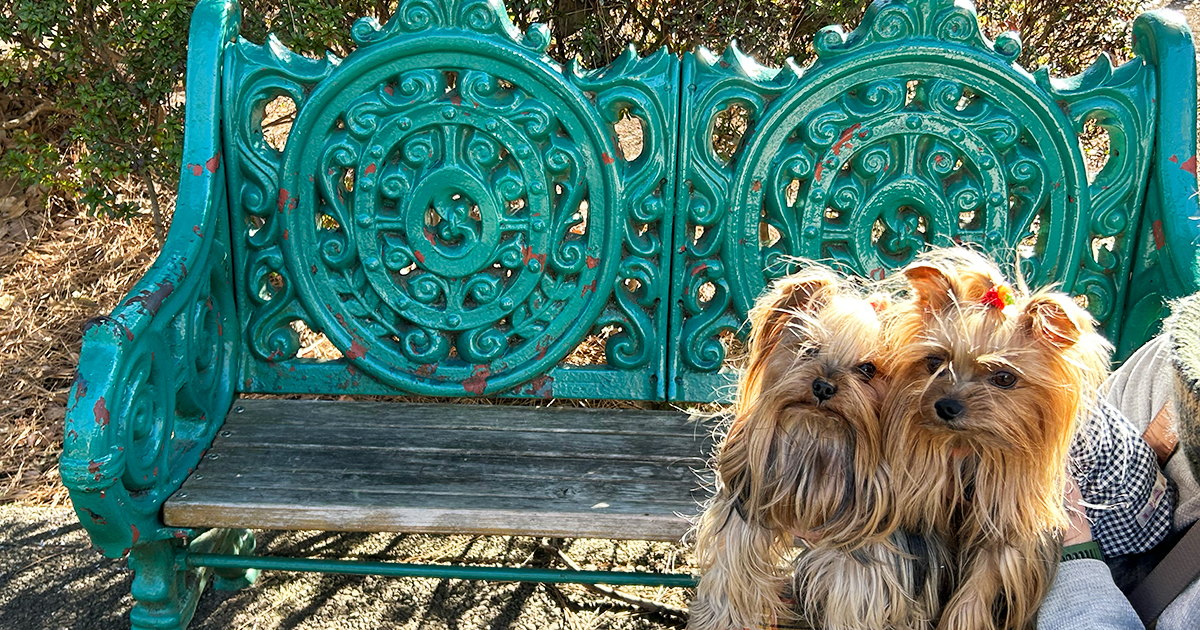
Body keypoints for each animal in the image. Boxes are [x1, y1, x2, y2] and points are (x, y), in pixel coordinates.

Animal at [691, 265, 940, 628]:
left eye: (868, 369)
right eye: (808, 349)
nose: (823, 386)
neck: (819, 437)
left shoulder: (864, 561)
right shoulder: (745, 514)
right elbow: (731, 579)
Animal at [888, 249, 1108, 628]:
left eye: (1004, 378)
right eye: (934, 361)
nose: (946, 406)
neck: (973, 449)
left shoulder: (1007, 529)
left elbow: (979, 587)